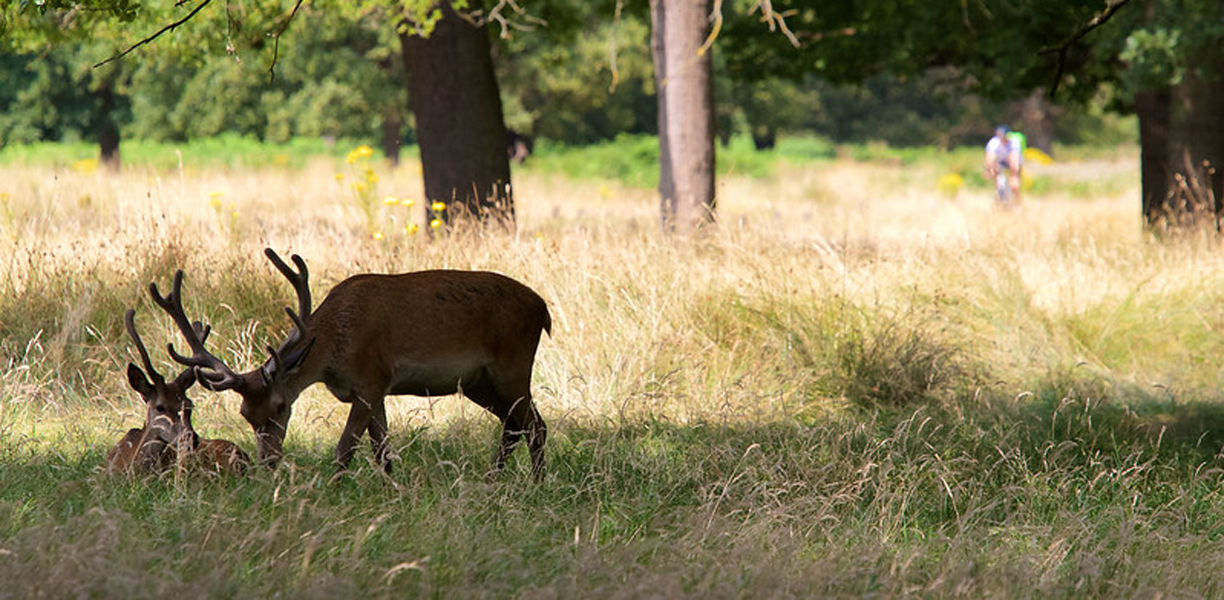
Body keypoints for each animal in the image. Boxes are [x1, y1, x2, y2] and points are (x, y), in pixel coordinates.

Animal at [154, 247, 555, 477]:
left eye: (281, 406)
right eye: (245, 415)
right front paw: (393, 489)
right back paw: (494, 479)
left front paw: (334, 488)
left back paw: (534, 483)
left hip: (513, 364)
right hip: (478, 382)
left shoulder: (372, 379)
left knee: (536, 426)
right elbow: (382, 452)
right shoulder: (375, 391)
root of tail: (543, 310)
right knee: (513, 426)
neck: (334, 347)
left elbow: (345, 448)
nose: (268, 462)